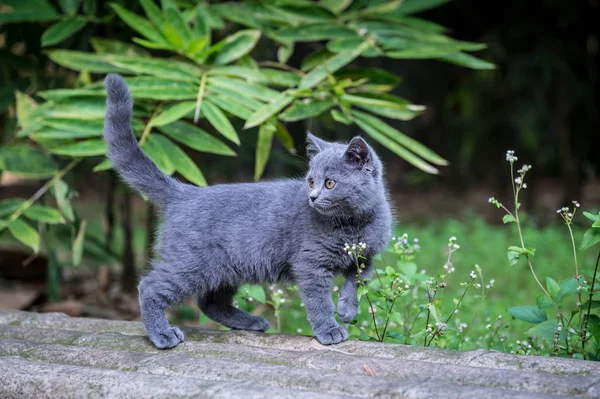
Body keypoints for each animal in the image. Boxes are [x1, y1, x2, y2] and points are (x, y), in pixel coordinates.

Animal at [103, 73, 394, 348]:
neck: (352, 224)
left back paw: (250, 322)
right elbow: (318, 300)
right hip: (191, 263)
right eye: (311, 181)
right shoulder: (310, 263)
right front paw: (329, 329)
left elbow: (358, 280)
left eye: (329, 183)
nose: (312, 197)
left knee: (210, 302)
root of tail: (185, 192)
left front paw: (347, 309)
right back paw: (162, 334)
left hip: (225, 269)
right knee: (150, 287)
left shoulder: (366, 255)